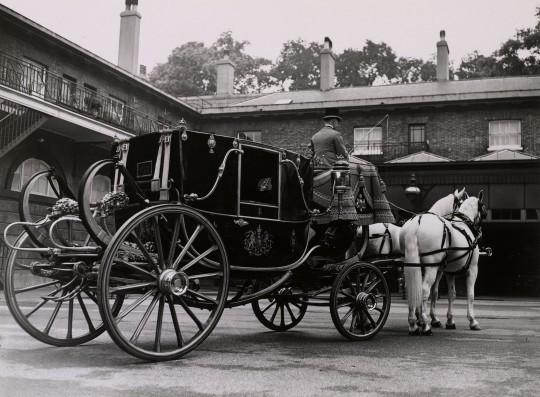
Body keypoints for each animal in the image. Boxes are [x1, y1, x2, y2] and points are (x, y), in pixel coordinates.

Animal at [400, 191, 486, 334]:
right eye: (484, 211)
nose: (479, 232)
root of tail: (417, 221)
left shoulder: (449, 271)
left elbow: (450, 294)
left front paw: (449, 320)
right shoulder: (472, 269)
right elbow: (470, 294)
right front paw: (472, 321)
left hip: (412, 266)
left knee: (411, 289)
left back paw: (413, 323)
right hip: (431, 268)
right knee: (424, 290)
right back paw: (425, 325)